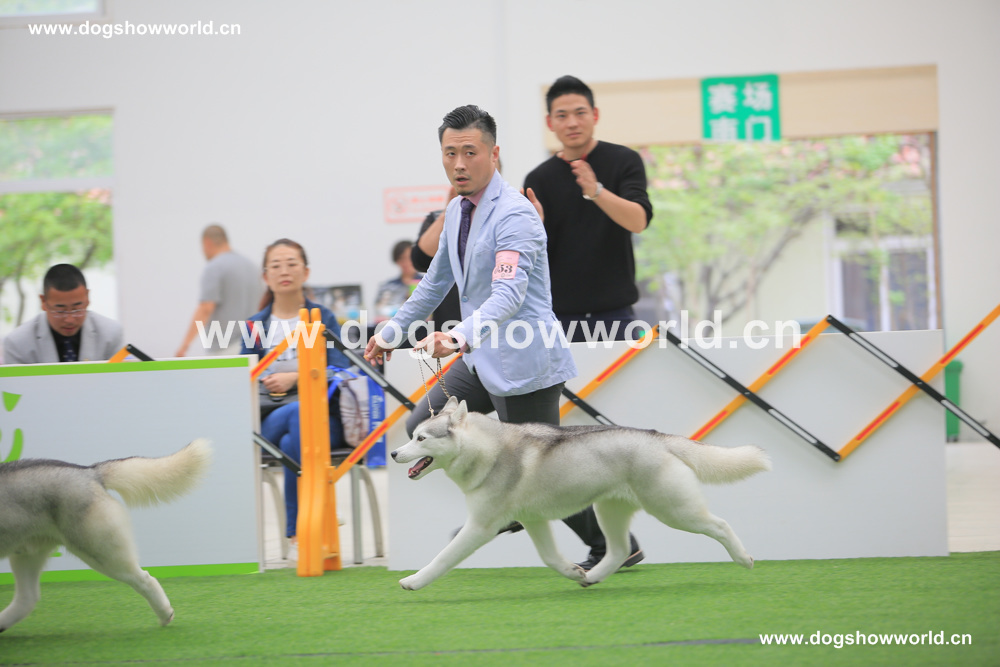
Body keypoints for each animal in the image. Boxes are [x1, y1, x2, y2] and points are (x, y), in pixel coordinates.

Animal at [0, 439, 212, 633]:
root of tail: (90, 472)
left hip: (101, 553)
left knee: (144, 579)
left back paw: (165, 613)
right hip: (26, 553)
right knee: (27, 598)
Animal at [391, 397, 770, 590]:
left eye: (421, 439)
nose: (394, 454)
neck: (487, 450)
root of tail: (658, 438)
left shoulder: (480, 527)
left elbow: (443, 557)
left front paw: (414, 580)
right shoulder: (534, 521)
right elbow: (549, 557)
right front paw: (572, 572)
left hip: (674, 509)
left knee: (719, 525)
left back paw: (744, 558)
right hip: (609, 511)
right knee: (618, 550)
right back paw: (594, 576)